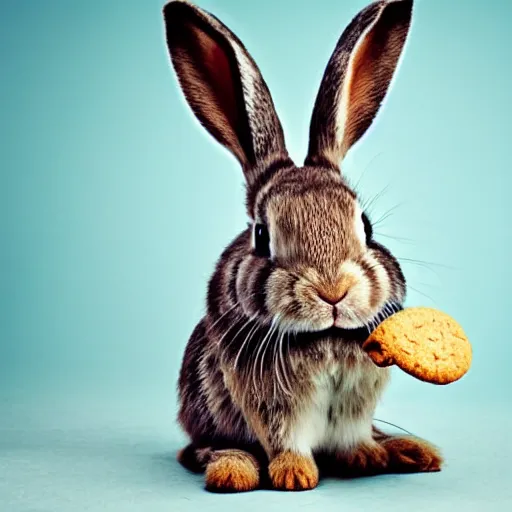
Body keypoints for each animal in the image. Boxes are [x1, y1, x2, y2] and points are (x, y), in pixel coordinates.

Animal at [162, 0, 442, 492]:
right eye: (261, 235)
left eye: (366, 226)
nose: (333, 292)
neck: (325, 335)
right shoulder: (270, 403)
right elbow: (284, 438)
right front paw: (294, 474)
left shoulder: (356, 401)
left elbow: (353, 434)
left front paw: (364, 457)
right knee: (200, 449)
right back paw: (232, 469)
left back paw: (410, 451)